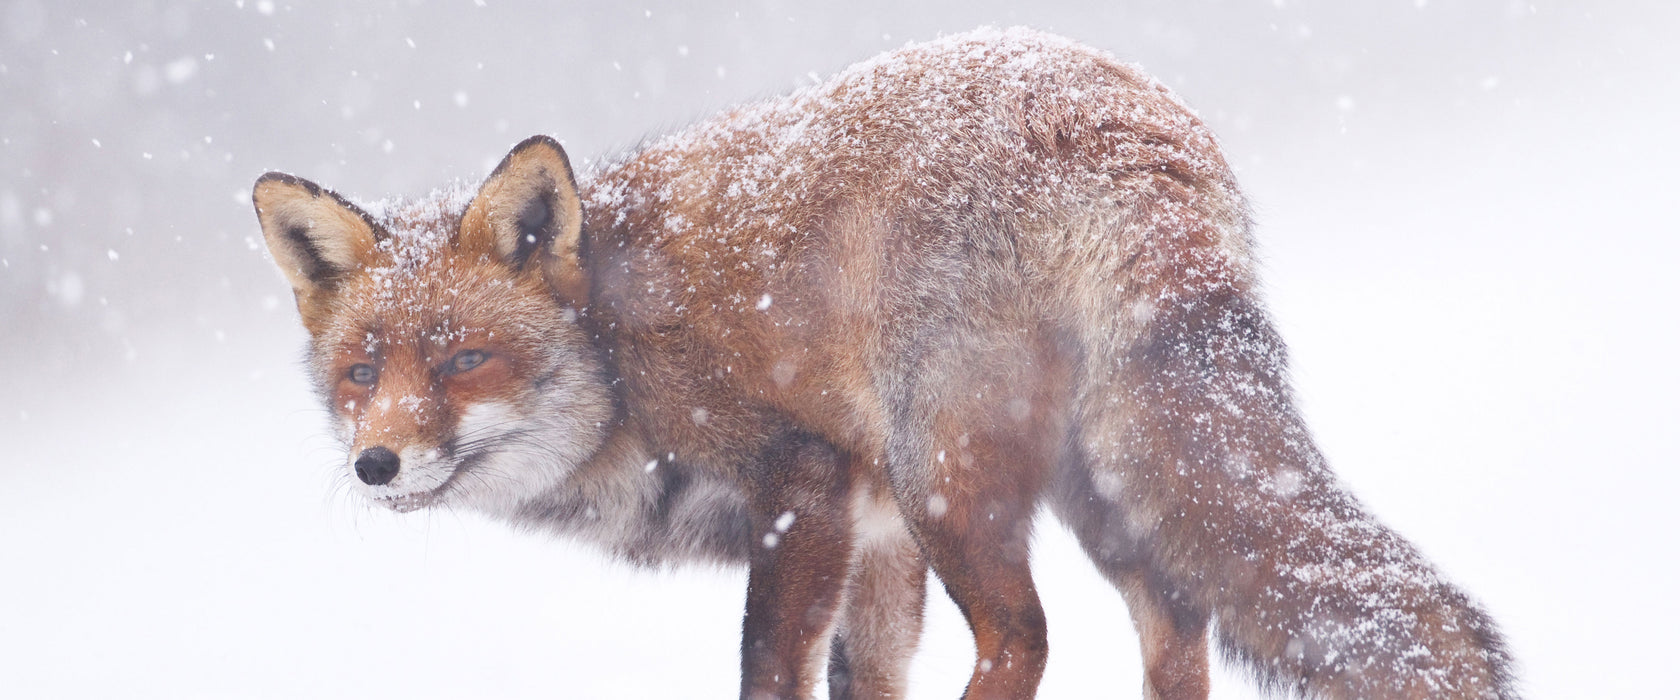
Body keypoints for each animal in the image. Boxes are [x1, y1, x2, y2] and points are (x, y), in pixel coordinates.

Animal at [255, 27, 1518, 698]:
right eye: (362, 372)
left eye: (466, 359)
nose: (376, 462)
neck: (618, 357)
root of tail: (1117, 112)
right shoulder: (875, 543)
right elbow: (868, 680)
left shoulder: (804, 486)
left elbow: (773, 675)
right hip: (1099, 486)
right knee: (1177, 625)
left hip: (949, 473)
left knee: (1026, 636)